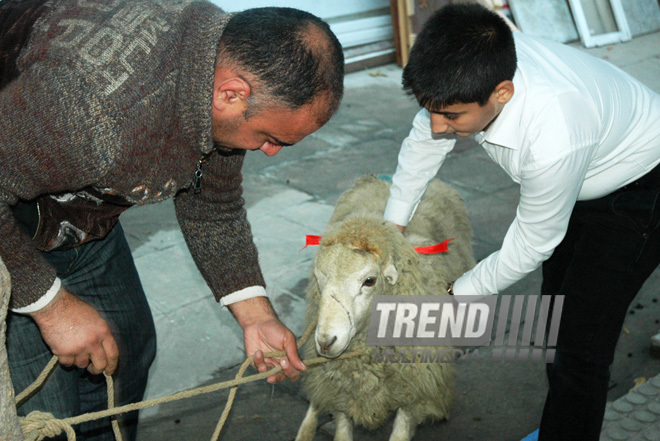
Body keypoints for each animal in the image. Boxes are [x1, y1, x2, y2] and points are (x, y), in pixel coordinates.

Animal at [296, 174, 474, 440]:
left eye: (369, 281)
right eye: (319, 278)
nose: (326, 342)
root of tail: (379, 179)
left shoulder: (414, 385)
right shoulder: (341, 390)